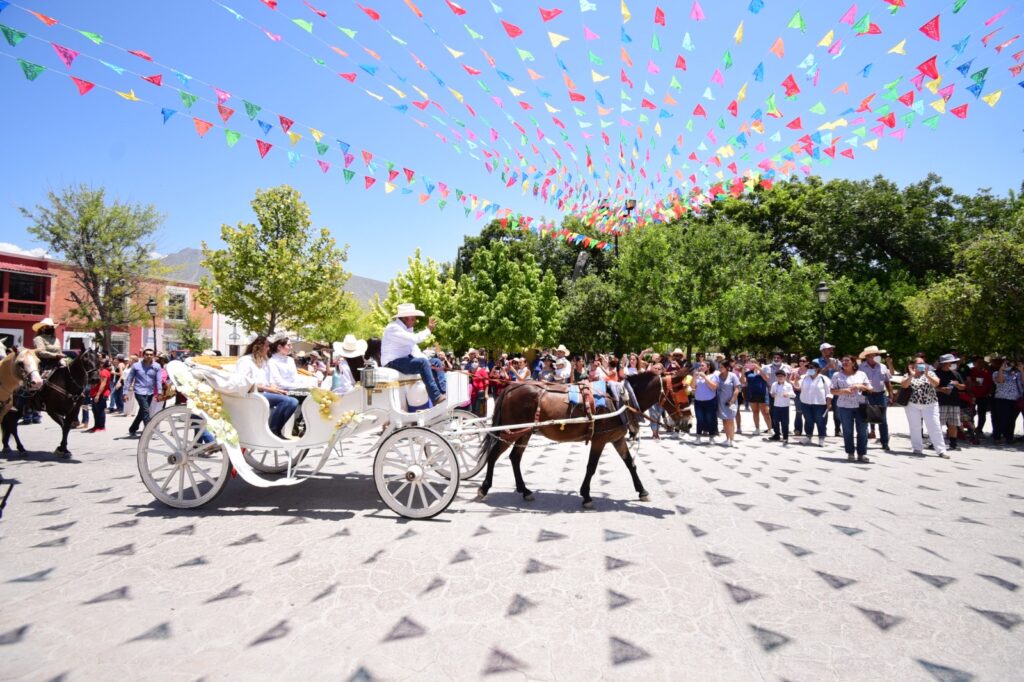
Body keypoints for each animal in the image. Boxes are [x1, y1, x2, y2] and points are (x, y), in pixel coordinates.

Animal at [475, 369, 690, 508]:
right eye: (682, 394)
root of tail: (511, 387)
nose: (688, 423)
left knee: (514, 458)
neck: (621, 399)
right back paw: (484, 488)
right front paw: (586, 495)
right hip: (511, 431)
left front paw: (642, 491)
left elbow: (630, 464)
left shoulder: (617, 439)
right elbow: (591, 467)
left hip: (524, 432)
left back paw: (525, 490)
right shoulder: (600, 440)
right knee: (493, 456)